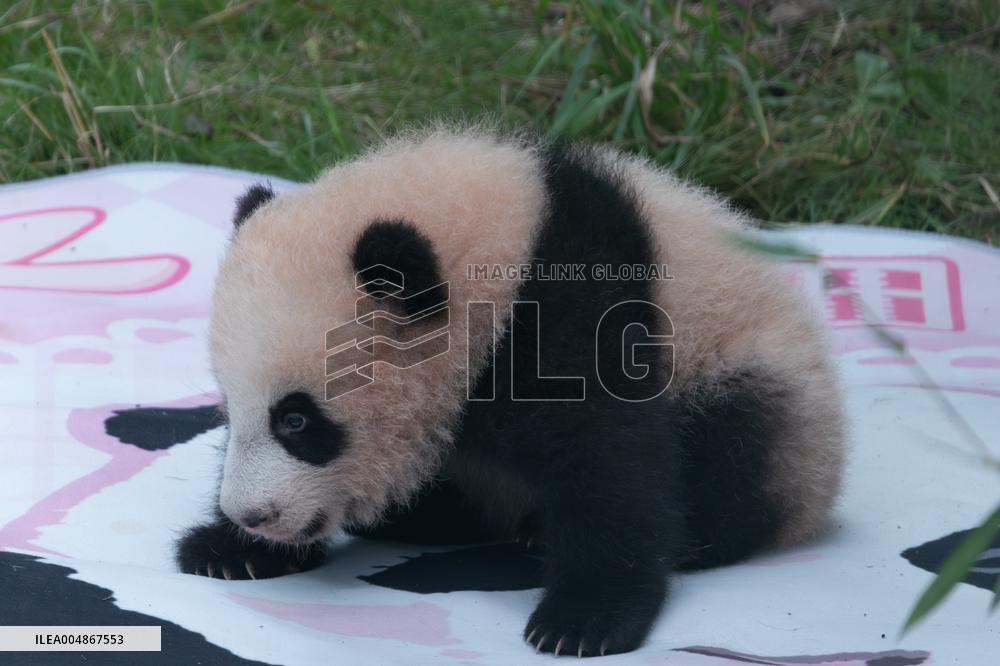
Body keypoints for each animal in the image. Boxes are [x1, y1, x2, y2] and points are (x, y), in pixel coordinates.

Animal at [176, 124, 845, 657]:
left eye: (297, 421)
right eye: (229, 410)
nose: (252, 515)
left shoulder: (573, 310)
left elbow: (611, 458)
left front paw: (581, 621)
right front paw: (227, 550)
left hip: (749, 378)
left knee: (736, 457)